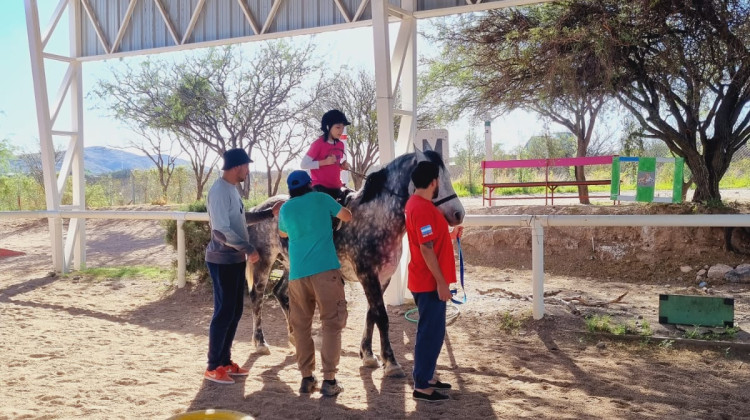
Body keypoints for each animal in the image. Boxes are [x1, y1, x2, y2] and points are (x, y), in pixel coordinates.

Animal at [247, 148, 464, 378]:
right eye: (435, 179)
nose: (459, 214)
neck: (376, 217)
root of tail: (262, 207)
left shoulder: (382, 278)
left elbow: (372, 314)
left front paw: (368, 355)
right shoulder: (368, 275)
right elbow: (382, 317)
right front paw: (391, 362)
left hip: (293, 265)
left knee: (280, 292)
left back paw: (294, 337)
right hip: (264, 262)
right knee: (257, 297)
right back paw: (260, 343)